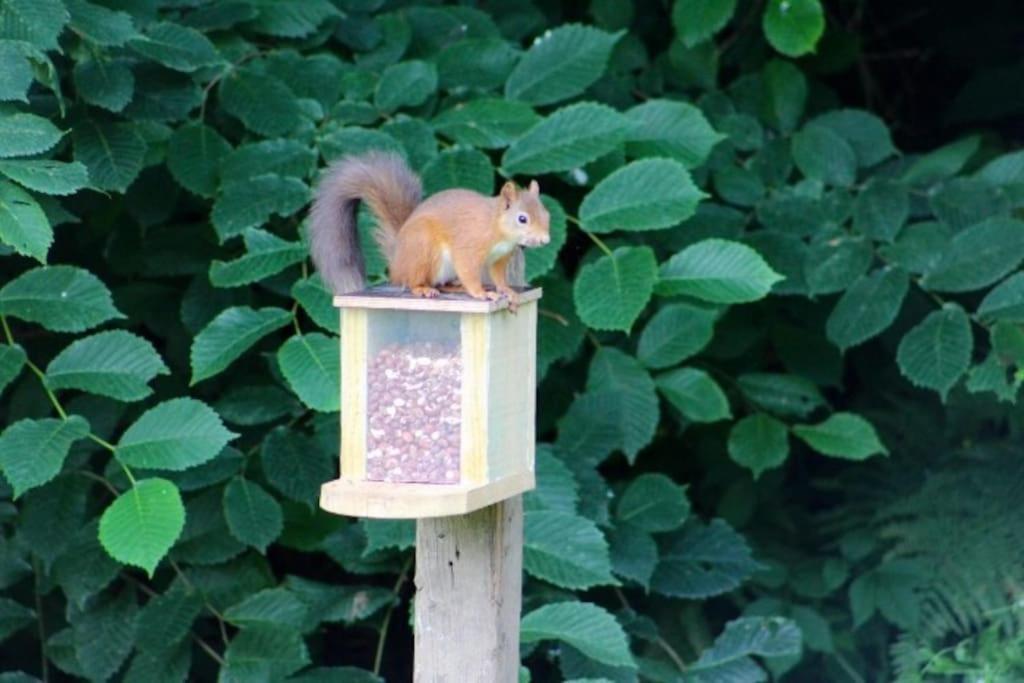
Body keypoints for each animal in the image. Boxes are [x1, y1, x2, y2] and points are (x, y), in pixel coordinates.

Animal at [309, 154, 552, 307]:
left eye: (547, 214)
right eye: (522, 219)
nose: (545, 240)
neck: (497, 227)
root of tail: (397, 261)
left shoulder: (500, 258)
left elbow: (499, 276)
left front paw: (506, 291)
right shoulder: (469, 246)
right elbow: (469, 271)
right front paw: (481, 293)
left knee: (443, 284)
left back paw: (455, 287)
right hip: (423, 250)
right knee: (413, 281)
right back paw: (423, 289)